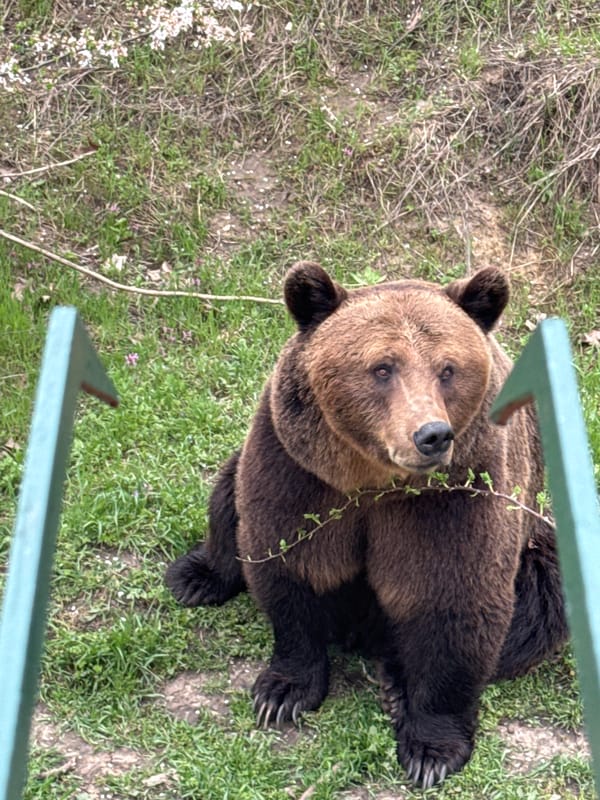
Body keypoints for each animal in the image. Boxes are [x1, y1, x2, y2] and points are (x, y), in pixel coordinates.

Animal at [166, 263, 567, 788]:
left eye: (447, 369)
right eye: (382, 368)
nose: (432, 435)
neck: (375, 482)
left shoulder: (456, 495)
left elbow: (454, 600)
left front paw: (431, 749)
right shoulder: (300, 474)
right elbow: (287, 565)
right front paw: (282, 692)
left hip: (536, 536)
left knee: (541, 603)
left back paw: (396, 681)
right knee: (226, 497)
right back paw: (197, 577)